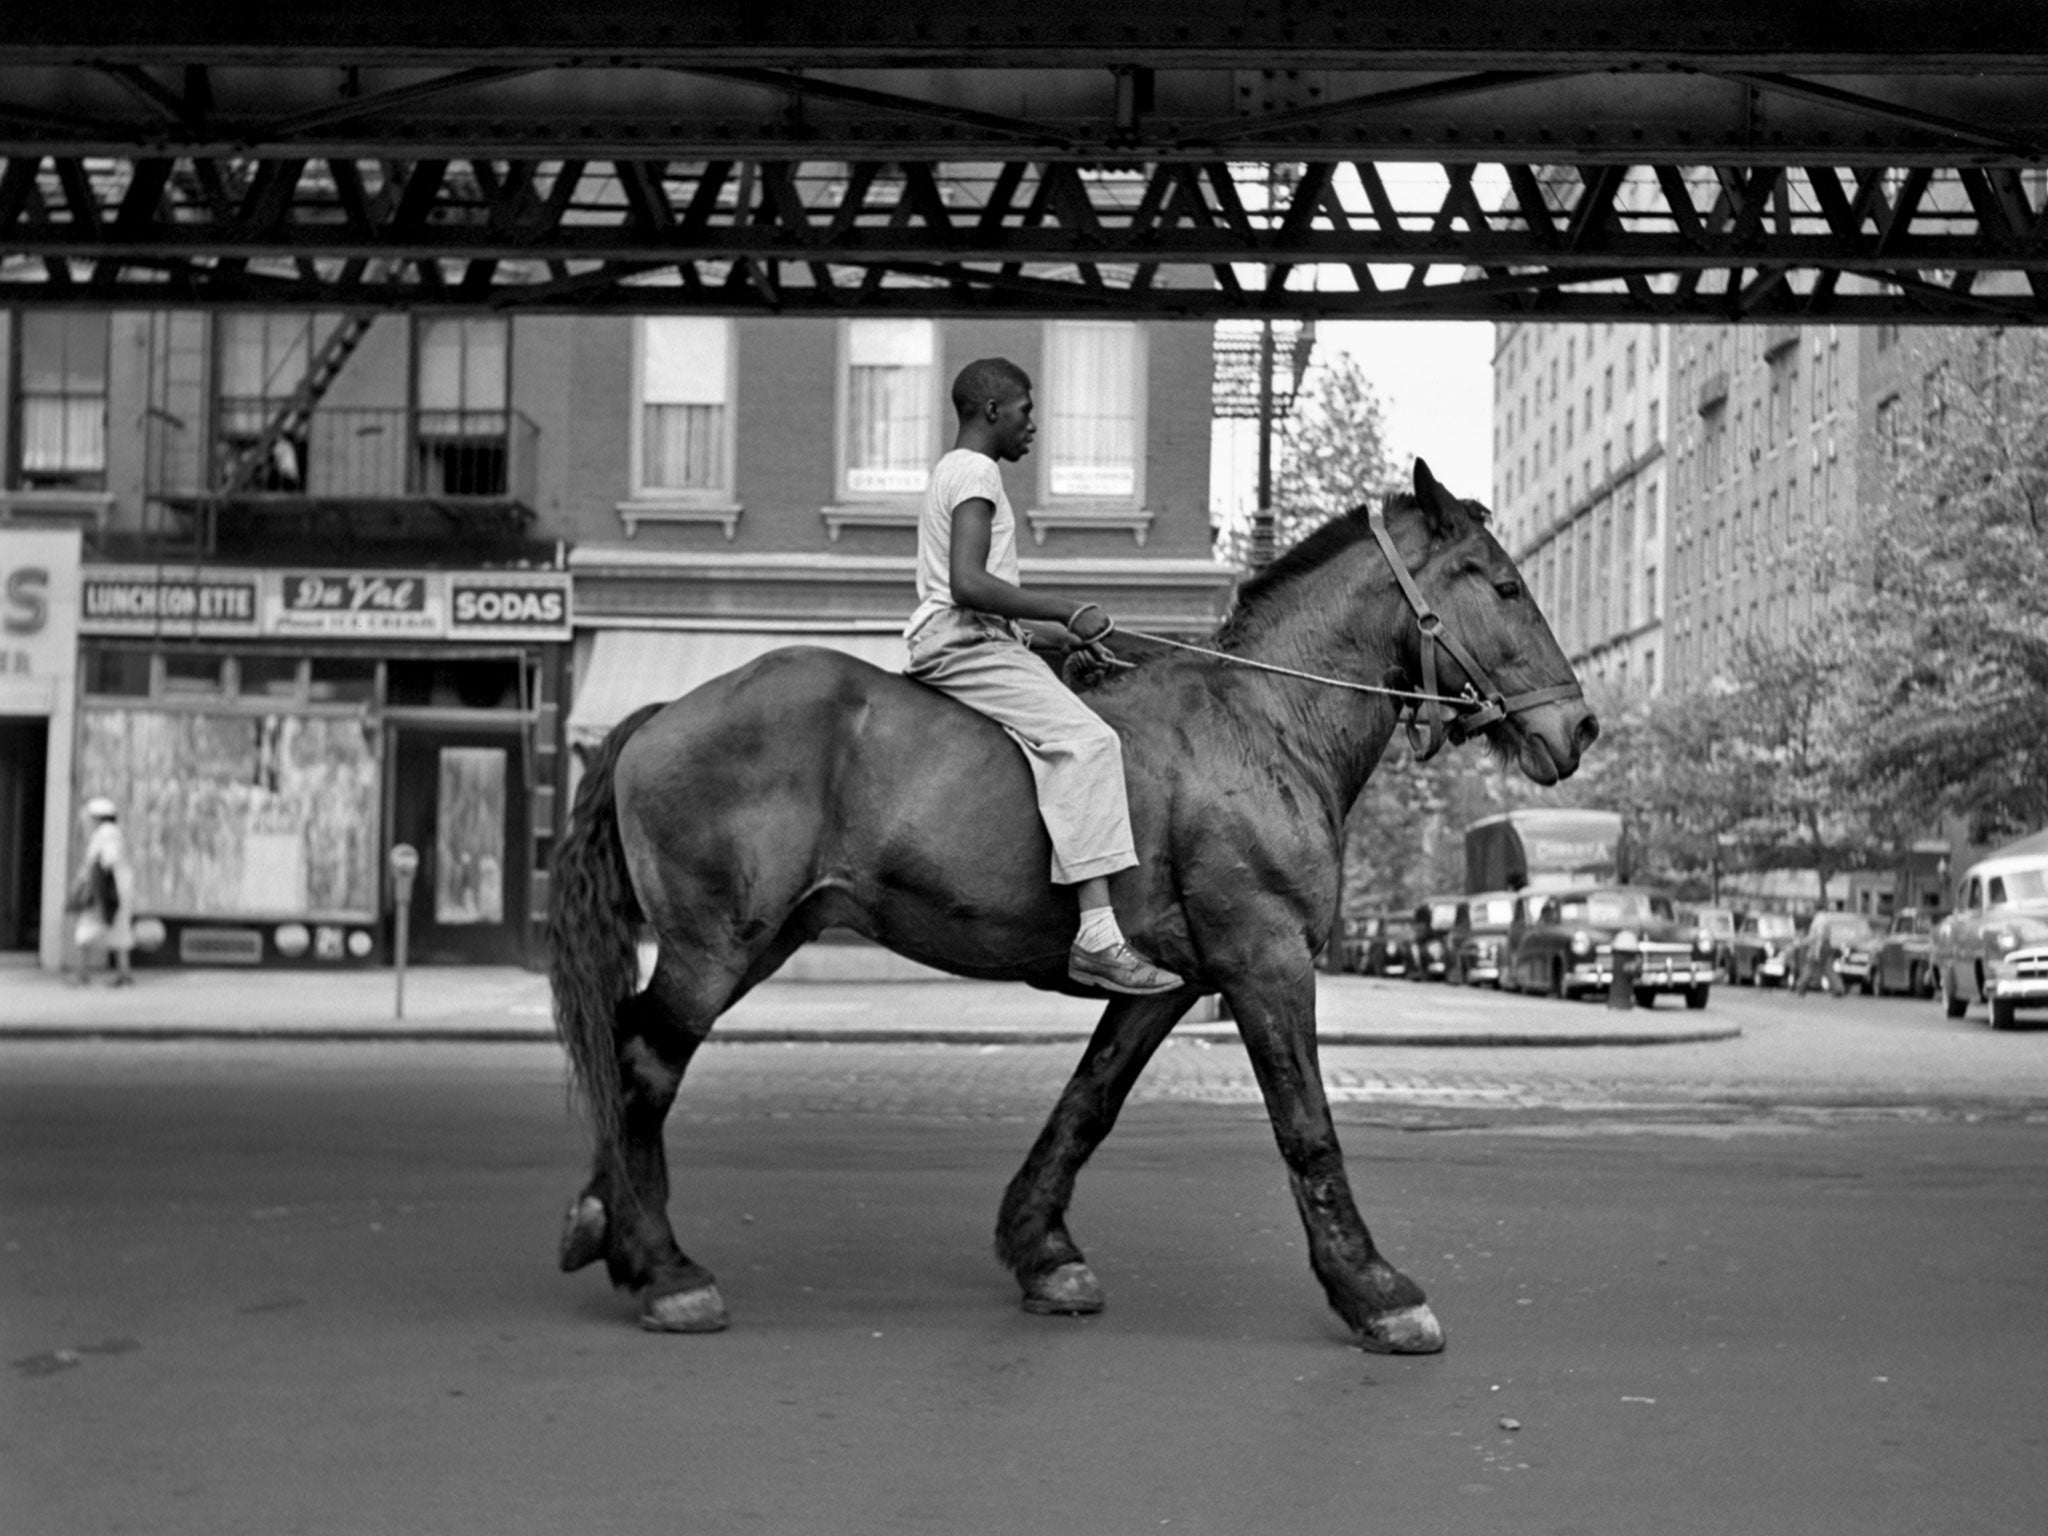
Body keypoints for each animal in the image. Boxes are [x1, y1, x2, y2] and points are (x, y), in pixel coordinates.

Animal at [548, 460, 1597, 1359]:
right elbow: (1305, 1125)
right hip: (716, 947)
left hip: (762, 938)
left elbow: (1088, 1103)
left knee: (629, 1045)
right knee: (643, 1063)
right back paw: (662, 1266)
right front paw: (1374, 1290)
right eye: (1503, 584)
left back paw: (606, 1222)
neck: (1264, 721)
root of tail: (665, 712)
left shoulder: (1168, 984)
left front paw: (1041, 1249)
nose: (1578, 725)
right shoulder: (1266, 960)